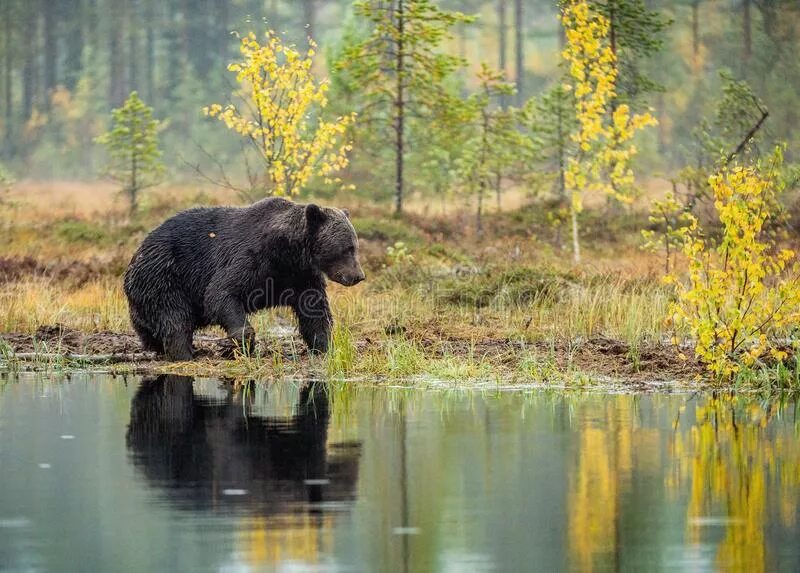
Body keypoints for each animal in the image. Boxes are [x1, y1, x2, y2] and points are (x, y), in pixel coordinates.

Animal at [123, 197, 364, 358]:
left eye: (354, 246)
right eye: (347, 248)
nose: (358, 276)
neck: (288, 252)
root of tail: (135, 254)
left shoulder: (300, 276)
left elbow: (314, 311)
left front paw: (327, 347)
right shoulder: (252, 259)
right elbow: (221, 293)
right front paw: (236, 344)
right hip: (164, 276)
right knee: (175, 318)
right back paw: (185, 352)